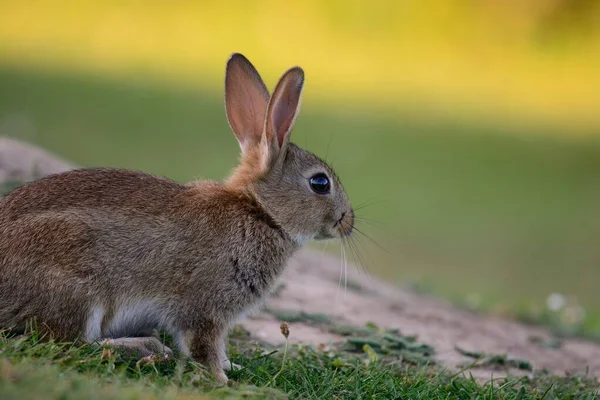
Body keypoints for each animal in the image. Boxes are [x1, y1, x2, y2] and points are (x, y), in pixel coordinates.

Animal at [0, 52, 354, 382]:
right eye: (320, 183)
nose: (348, 221)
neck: (260, 212)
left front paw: (232, 367)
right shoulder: (203, 308)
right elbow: (203, 346)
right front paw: (221, 380)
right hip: (77, 288)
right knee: (68, 343)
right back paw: (147, 348)